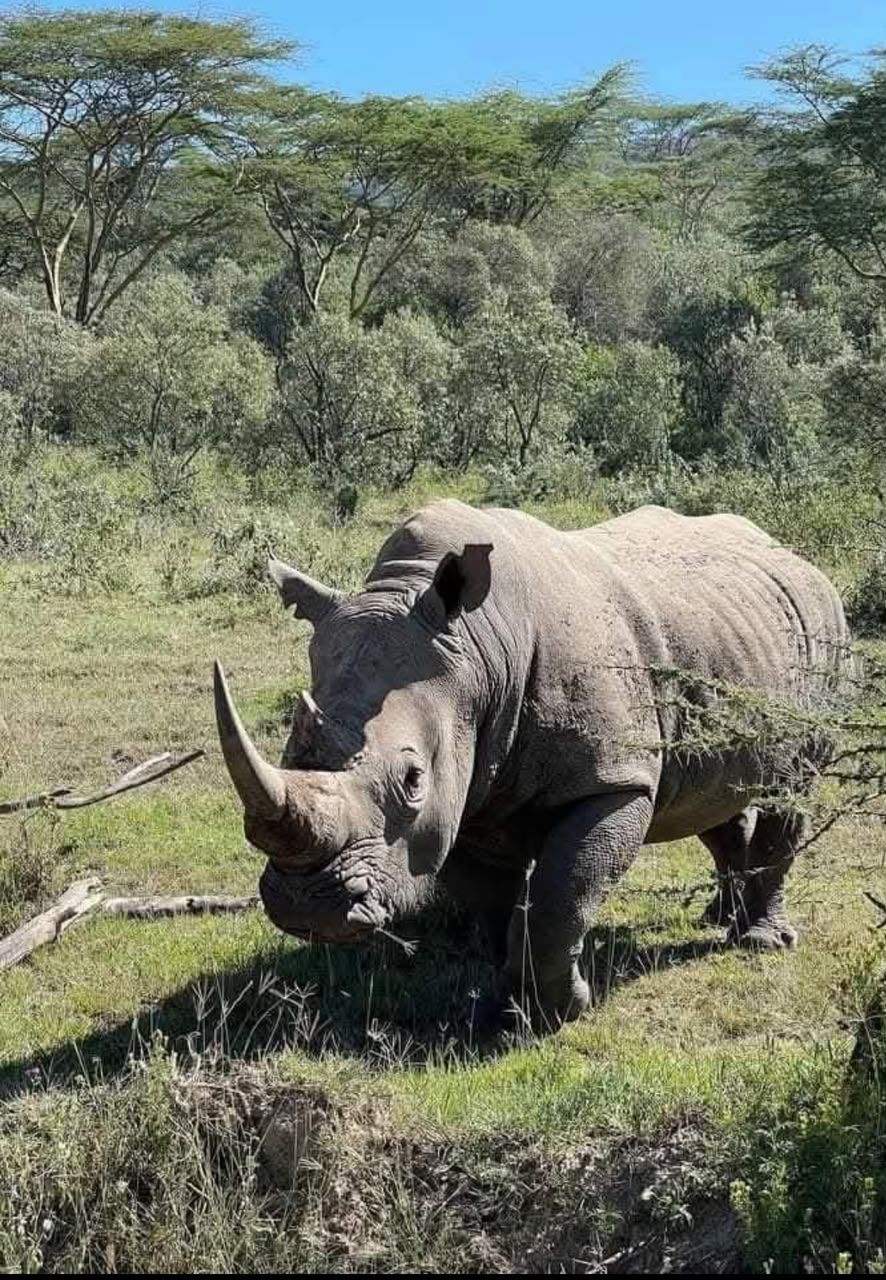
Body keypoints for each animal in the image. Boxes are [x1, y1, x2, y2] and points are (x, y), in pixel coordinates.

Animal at [214, 500, 851, 1027]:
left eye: (413, 780)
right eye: (290, 754)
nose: (307, 908)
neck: (479, 650)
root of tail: (796, 557)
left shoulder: (611, 782)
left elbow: (559, 897)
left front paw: (563, 1011)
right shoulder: (462, 801)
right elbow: (494, 907)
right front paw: (505, 1010)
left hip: (825, 636)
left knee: (794, 785)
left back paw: (762, 941)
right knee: (715, 792)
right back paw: (718, 917)